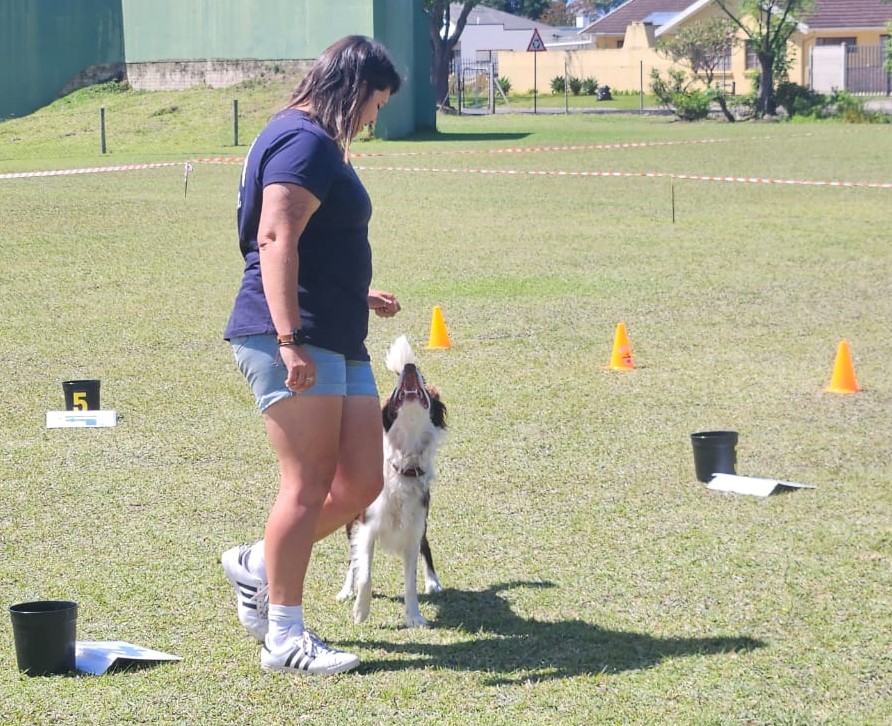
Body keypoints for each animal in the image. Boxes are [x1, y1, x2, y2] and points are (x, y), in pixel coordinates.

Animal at [336, 335, 447, 627]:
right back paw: (346, 590)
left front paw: (415, 617)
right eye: (394, 393)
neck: (404, 466)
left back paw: (433, 582)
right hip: (350, 521)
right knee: (352, 560)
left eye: (424, 382)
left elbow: (410, 582)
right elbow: (364, 574)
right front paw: (360, 611)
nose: (409, 367)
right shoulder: (365, 527)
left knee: (426, 545)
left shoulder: (413, 528)